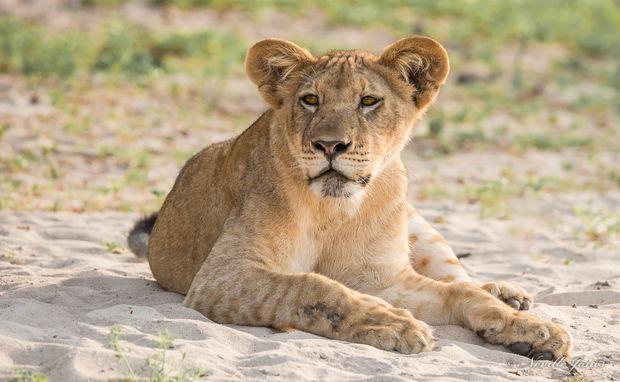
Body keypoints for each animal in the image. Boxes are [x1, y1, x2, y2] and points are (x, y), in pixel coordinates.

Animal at [127, 35, 572, 358]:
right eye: (310, 100)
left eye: (369, 101)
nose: (329, 145)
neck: (334, 209)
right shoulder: (220, 276)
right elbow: (313, 287)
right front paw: (393, 325)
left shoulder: (385, 278)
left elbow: (459, 292)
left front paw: (533, 331)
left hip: (419, 225)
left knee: (460, 275)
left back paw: (508, 296)